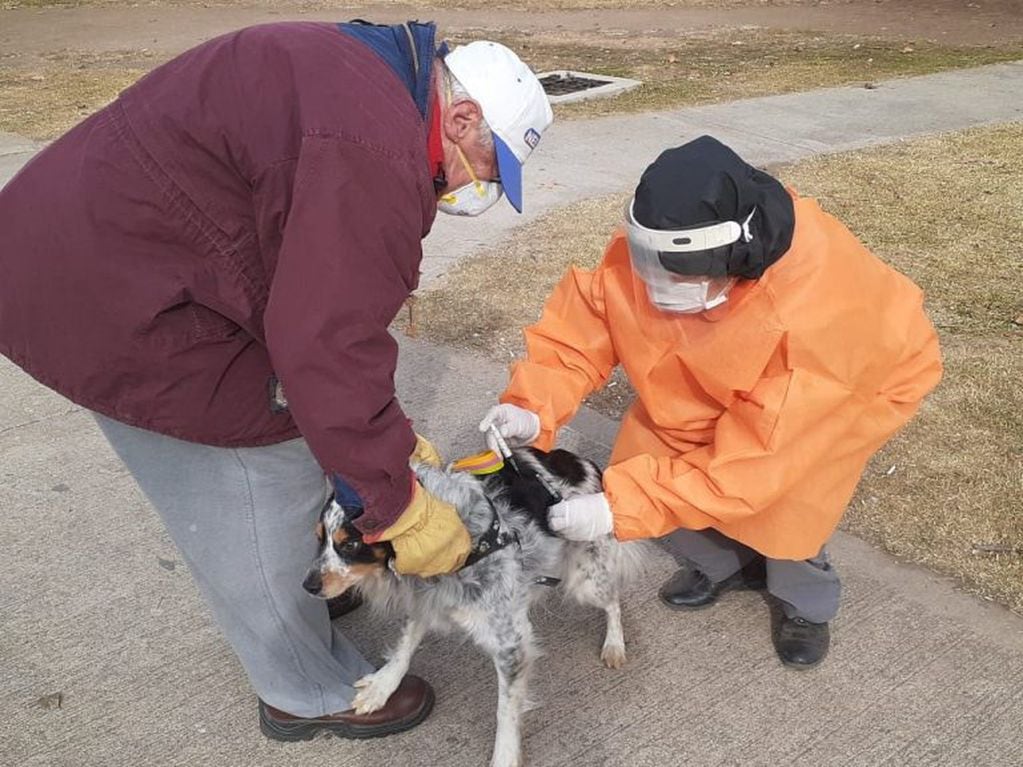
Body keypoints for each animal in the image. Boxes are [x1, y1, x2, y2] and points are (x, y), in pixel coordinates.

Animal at [298, 447, 650, 767]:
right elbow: (404, 646)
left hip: (585, 580)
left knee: (613, 601)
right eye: (318, 538)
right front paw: (383, 687)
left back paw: (614, 644)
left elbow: (505, 710)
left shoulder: (510, 645)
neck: (466, 542)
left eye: (350, 544)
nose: (308, 586)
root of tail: (582, 463)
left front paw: (505, 756)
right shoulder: (428, 597)